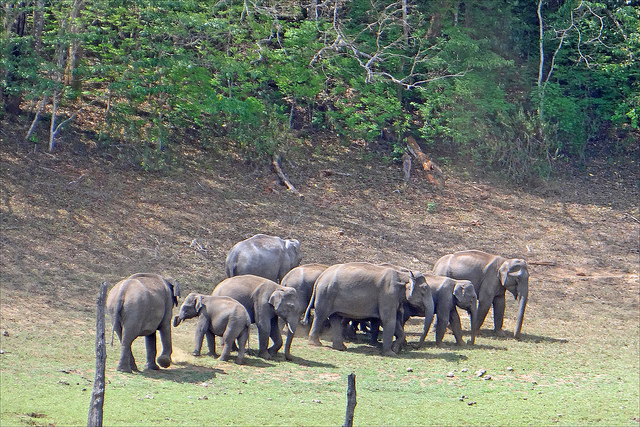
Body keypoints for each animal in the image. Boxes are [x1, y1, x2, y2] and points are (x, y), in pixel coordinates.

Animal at [304, 262, 436, 356]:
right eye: (424, 289)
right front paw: (391, 353)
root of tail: (321, 276)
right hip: (325, 294)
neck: (403, 275)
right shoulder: (388, 294)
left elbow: (397, 322)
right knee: (321, 315)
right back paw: (315, 344)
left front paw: (396, 348)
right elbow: (388, 320)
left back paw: (341, 348)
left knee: (335, 318)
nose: (415, 346)